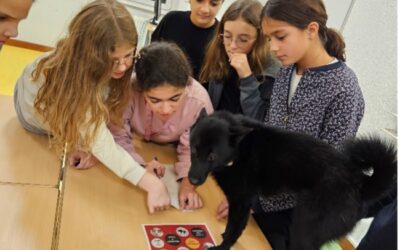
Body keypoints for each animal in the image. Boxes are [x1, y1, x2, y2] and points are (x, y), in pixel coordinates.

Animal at [188, 111, 396, 250]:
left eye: (212, 156)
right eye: (194, 149)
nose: (192, 180)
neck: (238, 150)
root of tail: (359, 183)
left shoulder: (240, 202)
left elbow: (233, 229)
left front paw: (222, 246)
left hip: (303, 228)